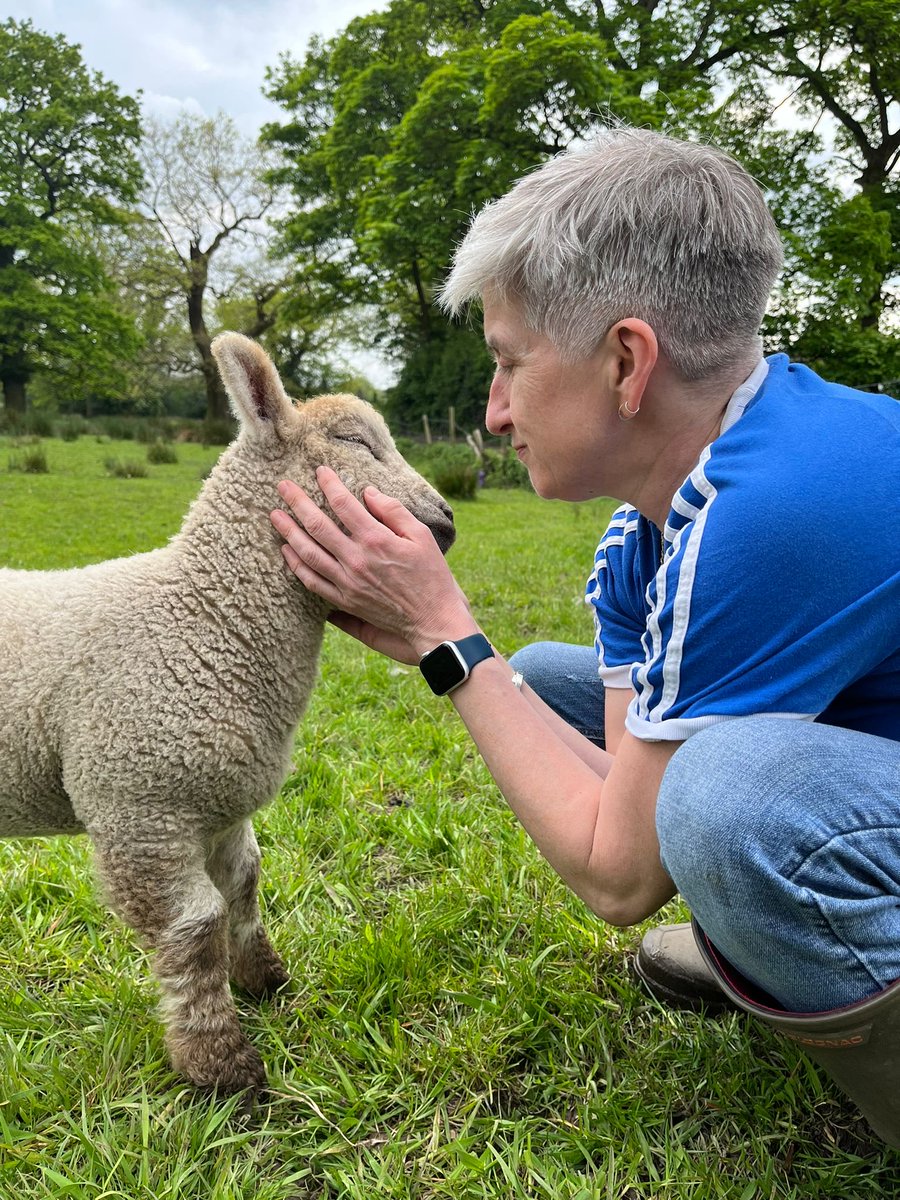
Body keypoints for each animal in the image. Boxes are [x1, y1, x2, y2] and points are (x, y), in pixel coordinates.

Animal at [0, 332, 455, 1096]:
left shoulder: (219, 801)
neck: (205, 616)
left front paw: (266, 982)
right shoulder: (140, 810)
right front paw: (219, 1063)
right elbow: (192, 932)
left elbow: (244, 888)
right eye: (355, 441)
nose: (446, 524)